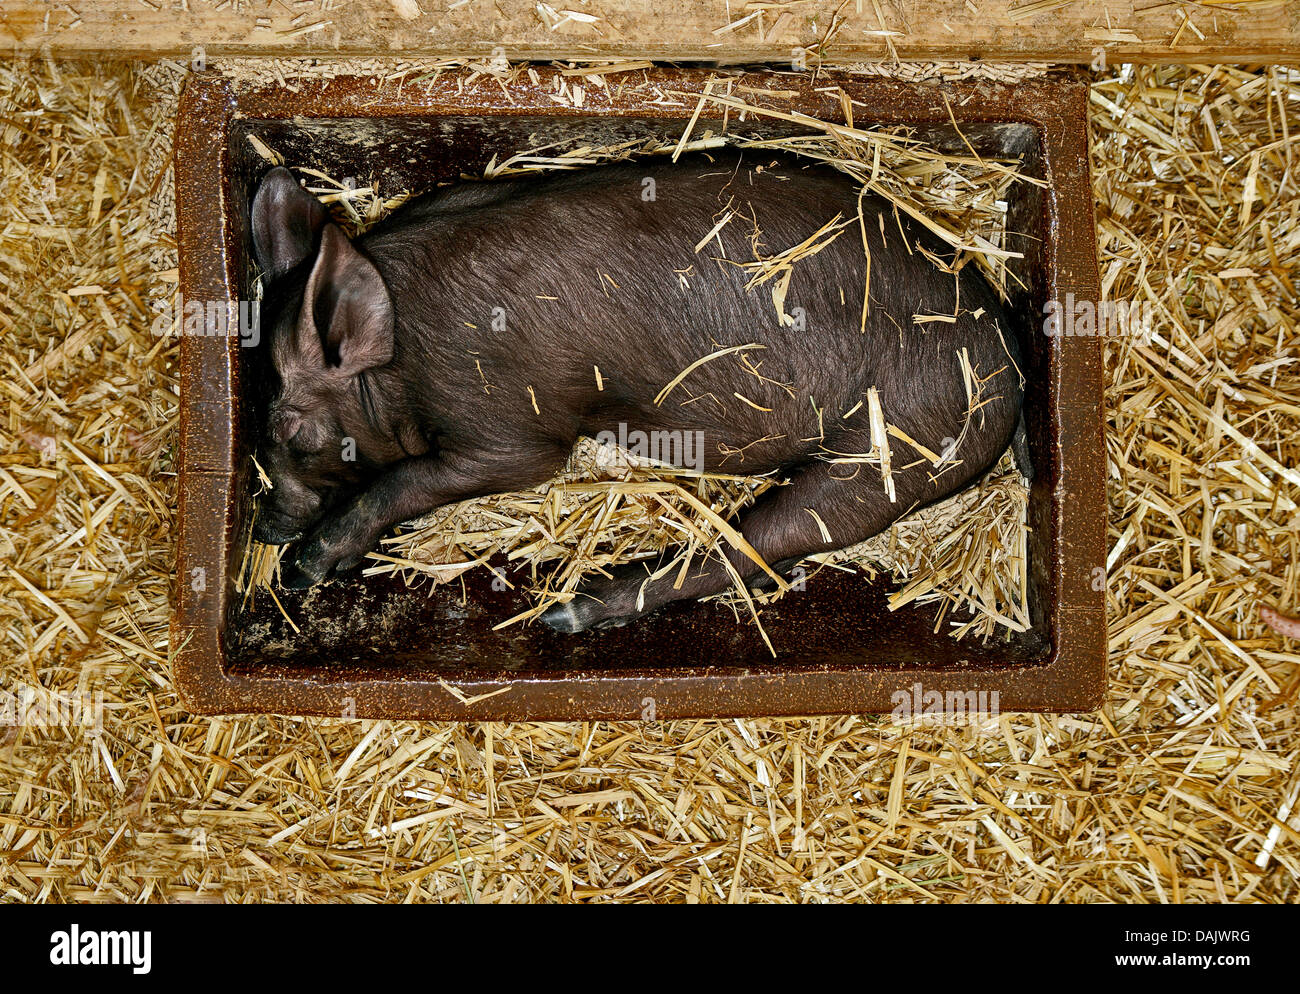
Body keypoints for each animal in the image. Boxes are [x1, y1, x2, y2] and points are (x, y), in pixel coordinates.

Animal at [250, 153, 1024, 636]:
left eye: (294, 434)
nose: (266, 530)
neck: (400, 363)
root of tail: (1012, 370)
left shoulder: (507, 425)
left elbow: (424, 478)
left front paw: (306, 569)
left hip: (897, 443)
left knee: (766, 537)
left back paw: (562, 613)